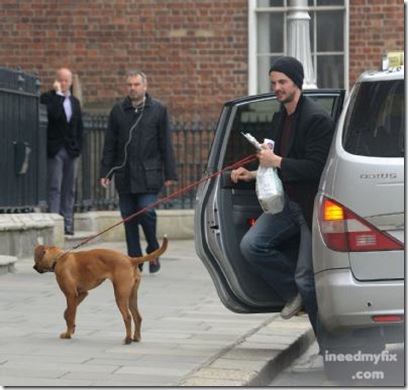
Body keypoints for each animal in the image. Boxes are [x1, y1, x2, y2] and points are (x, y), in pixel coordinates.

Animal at [33, 238, 167, 344]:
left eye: (35, 258)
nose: (34, 267)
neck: (59, 258)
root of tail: (131, 259)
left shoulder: (70, 295)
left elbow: (71, 315)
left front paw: (68, 334)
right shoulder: (81, 294)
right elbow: (67, 313)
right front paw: (72, 328)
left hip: (120, 295)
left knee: (127, 317)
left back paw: (128, 339)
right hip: (132, 297)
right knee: (137, 317)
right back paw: (136, 337)